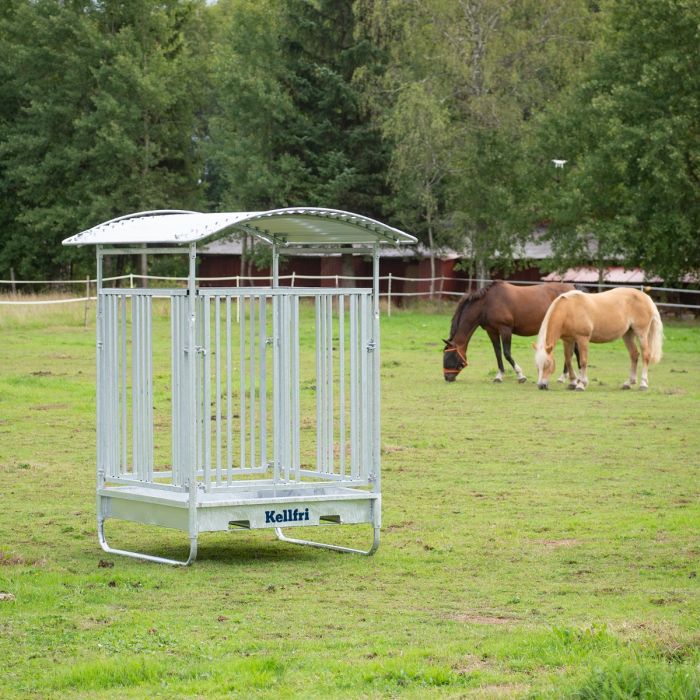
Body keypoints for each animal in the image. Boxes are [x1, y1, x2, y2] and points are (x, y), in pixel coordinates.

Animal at [446, 280, 576, 382]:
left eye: (448, 355)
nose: (447, 377)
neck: (487, 303)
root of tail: (573, 289)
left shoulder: (505, 329)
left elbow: (507, 353)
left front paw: (520, 375)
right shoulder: (492, 331)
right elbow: (498, 353)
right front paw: (499, 376)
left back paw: (563, 377)